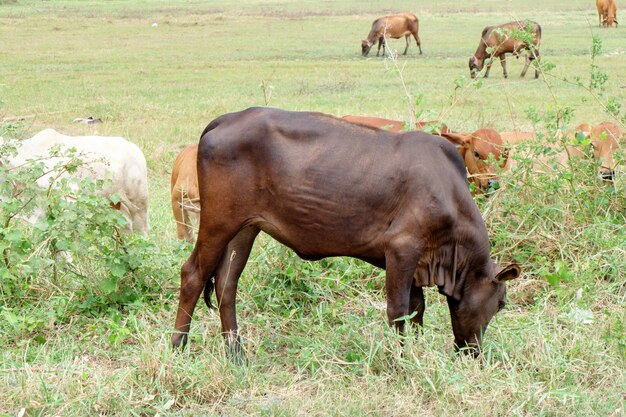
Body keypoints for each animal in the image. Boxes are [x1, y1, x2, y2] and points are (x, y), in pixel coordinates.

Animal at [2, 128, 149, 234]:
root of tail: (135, 149)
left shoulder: (68, 201)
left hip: (139, 203)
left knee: (142, 231)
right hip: (114, 203)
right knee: (126, 225)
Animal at [173, 106, 520, 354]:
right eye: (501, 303)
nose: (474, 353)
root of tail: (226, 119)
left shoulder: (417, 263)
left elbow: (416, 309)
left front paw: (415, 352)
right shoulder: (402, 248)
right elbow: (398, 310)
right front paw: (400, 360)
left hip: (244, 229)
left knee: (226, 284)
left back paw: (236, 352)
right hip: (218, 221)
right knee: (193, 274)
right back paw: (179, 347)